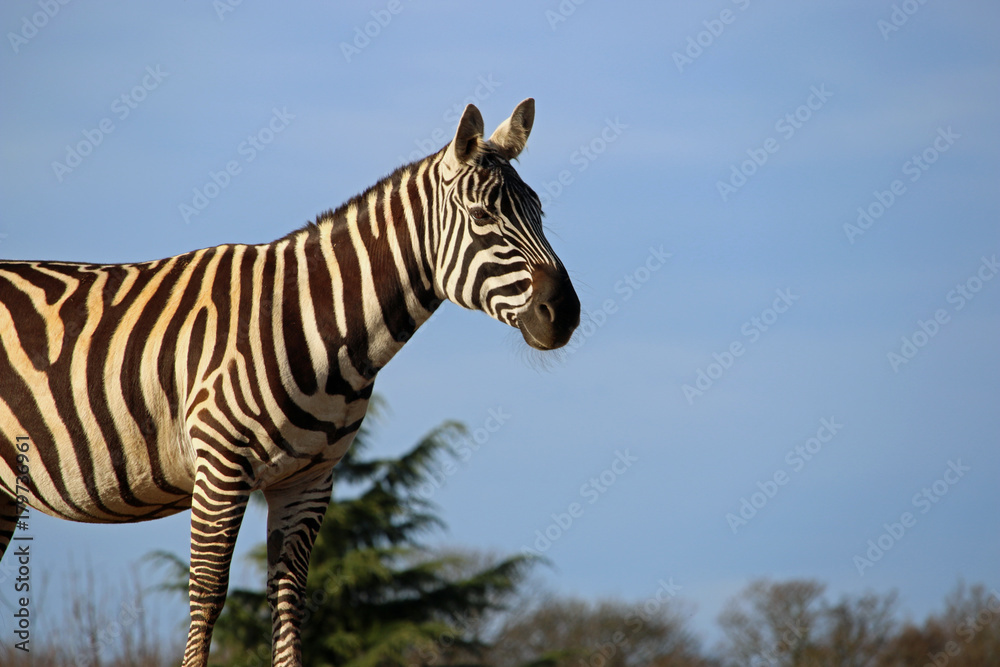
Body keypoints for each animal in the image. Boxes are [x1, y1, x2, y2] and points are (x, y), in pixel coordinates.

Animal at [0, 99, 579, 666]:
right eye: (483, 217)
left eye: (540, 213)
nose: (565, 312)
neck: (310, 324)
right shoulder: (220, 468)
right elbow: (207, 596)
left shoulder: (309, 479)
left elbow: (289, 602)